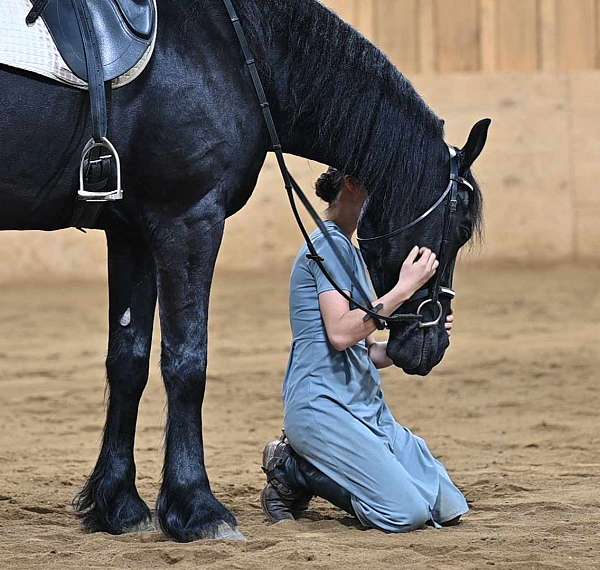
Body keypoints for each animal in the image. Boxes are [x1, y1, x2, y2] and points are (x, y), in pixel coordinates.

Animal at [0, 1, 488, 540]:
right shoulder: (189, 219)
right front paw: (197, 508)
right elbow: (186, 363)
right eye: (460, 226)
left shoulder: (131, 233)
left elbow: (127, 361)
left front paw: (119, 506)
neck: (230, 48)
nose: (432, 344)